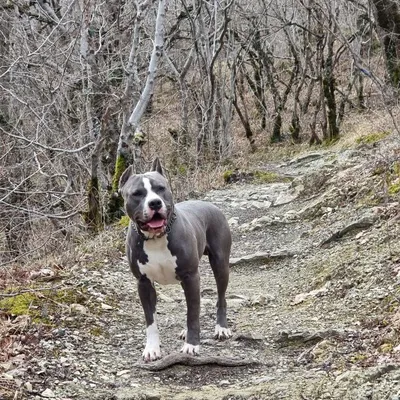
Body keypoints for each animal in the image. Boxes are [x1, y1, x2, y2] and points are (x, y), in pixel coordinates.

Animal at [118, 158, 231, 360]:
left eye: (161, 188)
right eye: (137, 193)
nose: (155, 203)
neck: (156, 237)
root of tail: (210, 205)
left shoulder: (191, 276)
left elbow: (193, 313)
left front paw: (192, 345)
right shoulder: (143, 283)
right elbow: (151, 319)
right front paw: (152, 348)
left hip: (220, 265)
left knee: (220, 297)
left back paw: (221, 328)